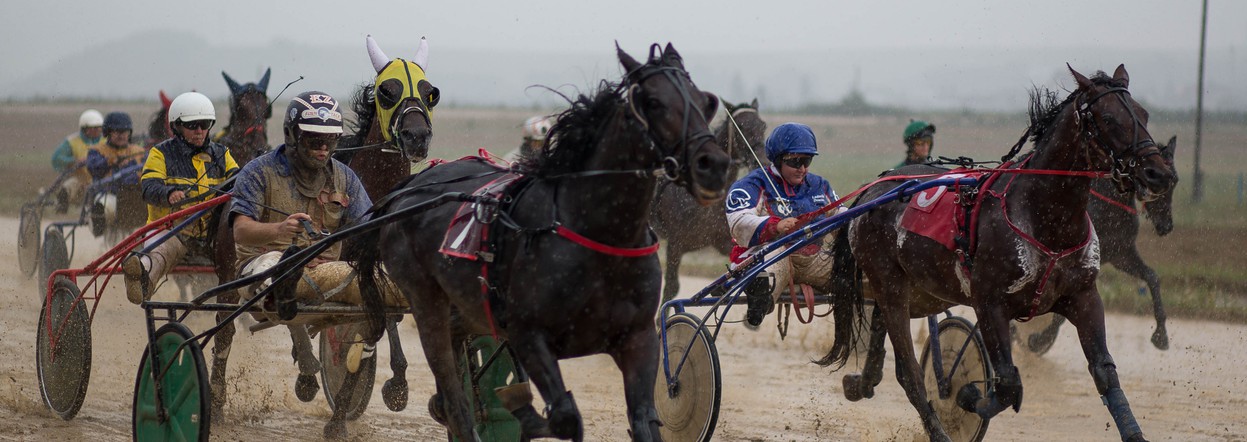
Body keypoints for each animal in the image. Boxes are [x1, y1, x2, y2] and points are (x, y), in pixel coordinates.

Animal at [351, 42, 728, 442]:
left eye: (706, 102)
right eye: (653, 101)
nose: (713, 164)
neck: (598, 234)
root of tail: (408, 189)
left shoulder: (639, 339)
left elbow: (644, 419)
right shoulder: (528, 336)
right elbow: (565, 416)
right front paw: (524, 411)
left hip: (465, 308)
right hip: (425, 301)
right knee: (454, 398)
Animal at [648, 98, 763, 302]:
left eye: (762, 125)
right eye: (741, 126)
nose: (762, 160)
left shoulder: (723, 241)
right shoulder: (676, 244)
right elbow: (671, 287)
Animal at [1017, 134, 1172, 352]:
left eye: (1174, 180)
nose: (1166, 225)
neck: (1108, 208)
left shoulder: (1121, 254)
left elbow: (1151, 277)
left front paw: (1161, 335)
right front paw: (1041, 339)